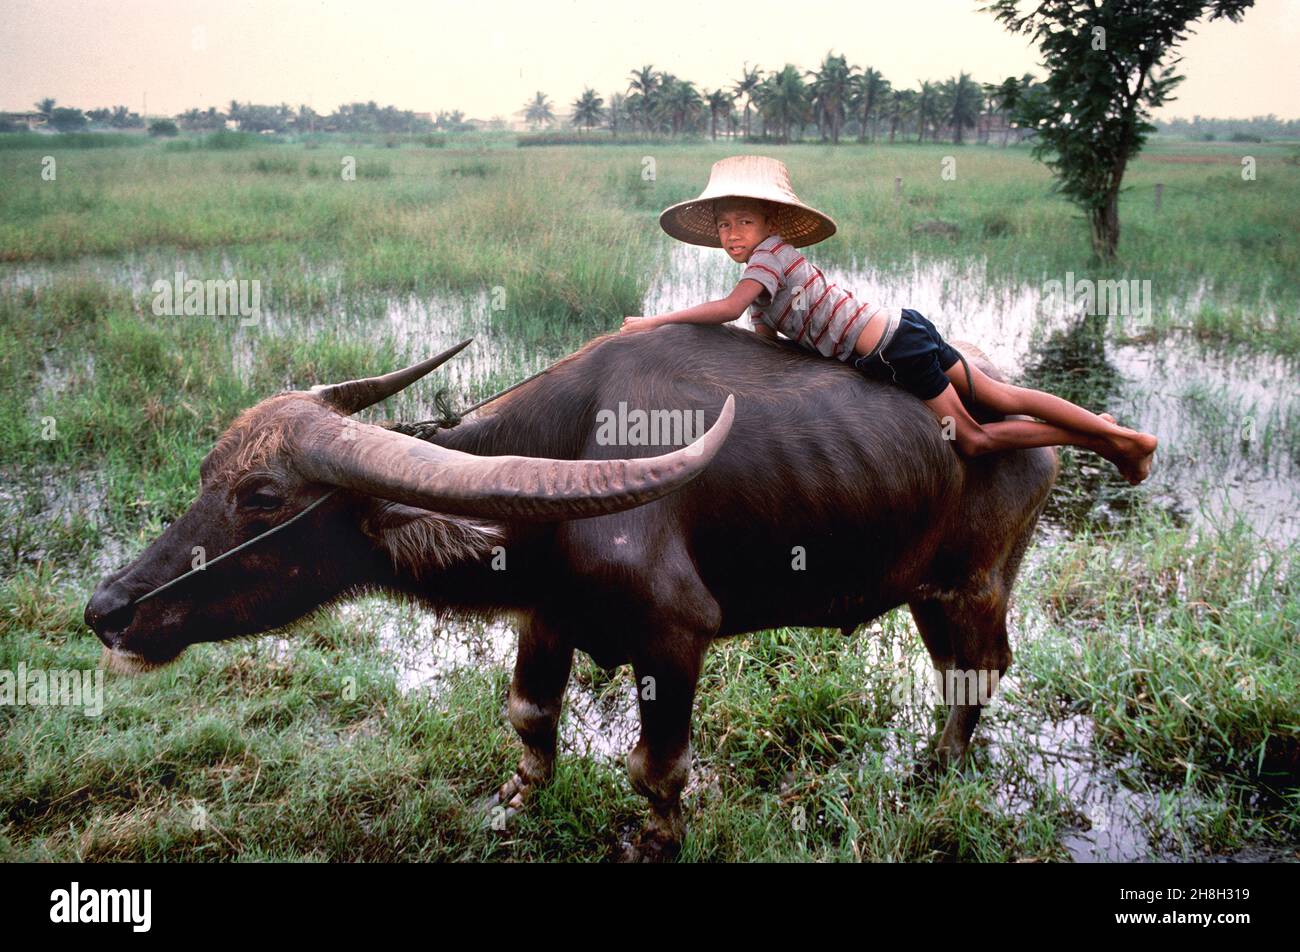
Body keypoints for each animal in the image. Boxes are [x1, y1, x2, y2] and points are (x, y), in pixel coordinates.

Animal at [83, 323, 1055, 858]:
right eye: (206, 472)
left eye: (263, 497)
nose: (107, 611)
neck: (564, 462)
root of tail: (1026, 431)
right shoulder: (544, 618)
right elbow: (529, 715)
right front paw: (520, 797)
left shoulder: (676, 638)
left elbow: (656, 765)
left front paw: (657, 838)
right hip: (932, 594)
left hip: (971, 586)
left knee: (979, 672)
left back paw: (938, 766)